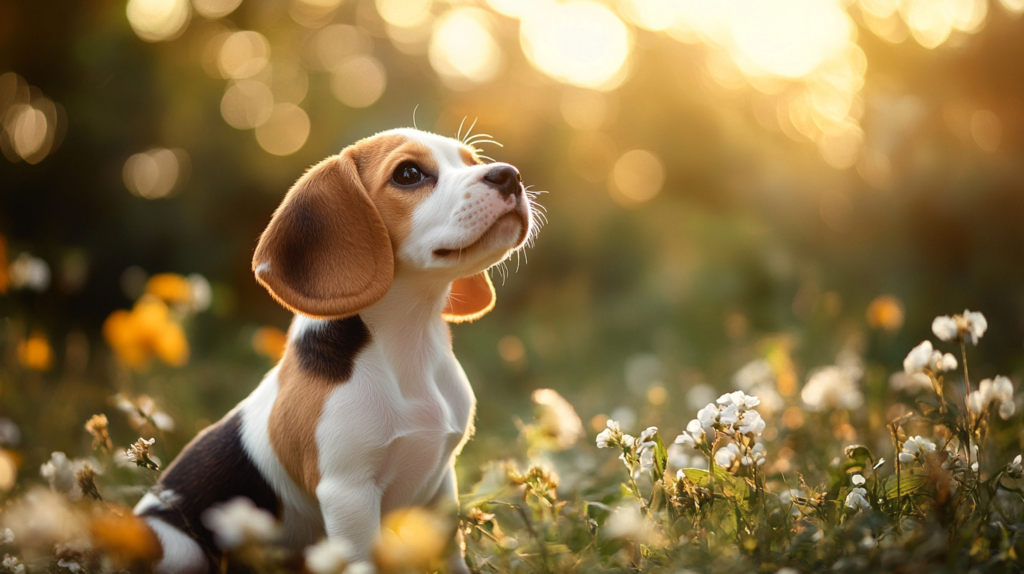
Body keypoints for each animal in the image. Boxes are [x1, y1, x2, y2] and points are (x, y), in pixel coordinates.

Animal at [134, 127, 536, 568]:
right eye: (408, 174)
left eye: (472, 161)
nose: (509, 175)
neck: (408, 340)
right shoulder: (348, 494)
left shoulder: (441, 484)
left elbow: (450, 559)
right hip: (177, 546)